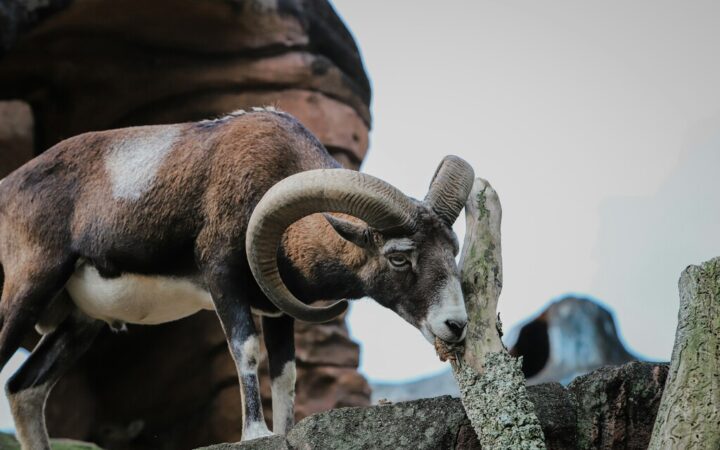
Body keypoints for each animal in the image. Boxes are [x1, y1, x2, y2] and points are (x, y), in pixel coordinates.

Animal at [0, 107, 474, 448]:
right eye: (399, 258)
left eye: (451, 248)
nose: (455, 325)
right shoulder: (222, 280)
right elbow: (245, 350)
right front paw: (256, 434)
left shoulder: (280, 311)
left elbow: (285, 374)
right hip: (27, 291)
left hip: (79, 325)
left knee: (23, 389)